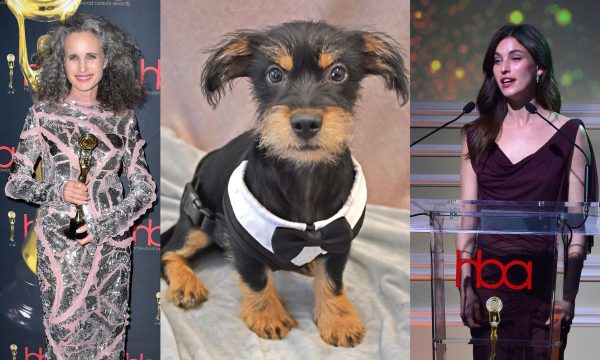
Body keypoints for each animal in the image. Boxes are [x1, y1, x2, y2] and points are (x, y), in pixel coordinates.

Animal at [161, 21, 408, 348]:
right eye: (275, 74)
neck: (304, 175)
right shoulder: (240, 243)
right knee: (169, 251)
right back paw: (186, 284)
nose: (305, 123)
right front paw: (268, 316)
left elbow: (332, 280)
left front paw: (339, 320)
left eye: (338, 73)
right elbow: (256, 278)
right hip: (197, 223)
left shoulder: (338, 239)